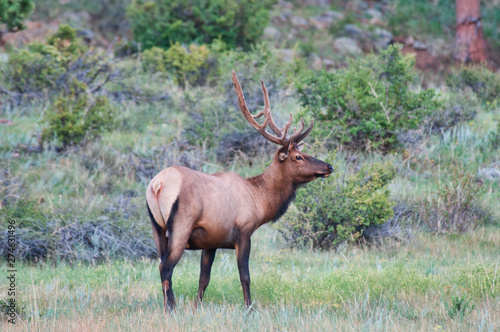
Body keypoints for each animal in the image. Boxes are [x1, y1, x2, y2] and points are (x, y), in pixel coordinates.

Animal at [146, 71, 334, 312]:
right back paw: (171, 308)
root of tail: (157, 185)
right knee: (166, 267)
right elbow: (245, 276)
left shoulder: (211, 241)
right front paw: (249, 307)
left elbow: (203, 278)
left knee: (161, 264)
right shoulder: (244, 231)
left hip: (156, 227)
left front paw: (197, 307)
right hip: (181, 224)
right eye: (298, 157)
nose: (328, 166)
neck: (259, 198)